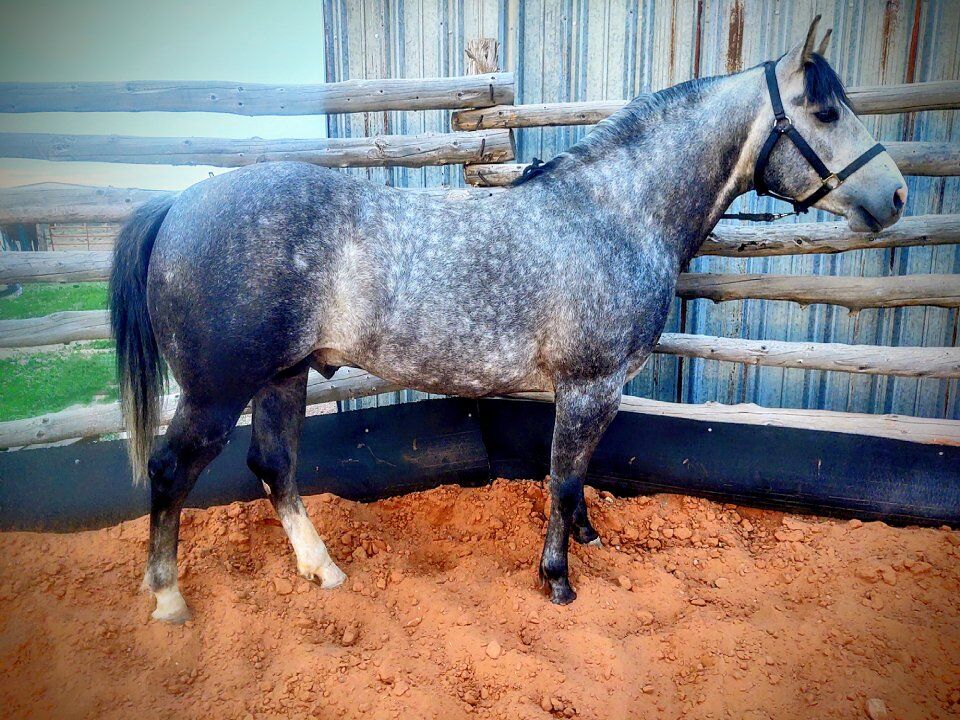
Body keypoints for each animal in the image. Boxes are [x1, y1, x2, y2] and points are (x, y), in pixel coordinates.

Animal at [110, 17, 906, 622]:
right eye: (825, 112)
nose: (896, 195)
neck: (614, 213)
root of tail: (179, 205)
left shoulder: (601, 389)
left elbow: (578, 476)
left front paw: (587, 538)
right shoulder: (588, 385)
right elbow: (560, 475)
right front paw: (557, 578)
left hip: (284, 375)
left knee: (274, 465)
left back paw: (323, 571)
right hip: (218, 392)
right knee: (172, 469)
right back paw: (169, 600)